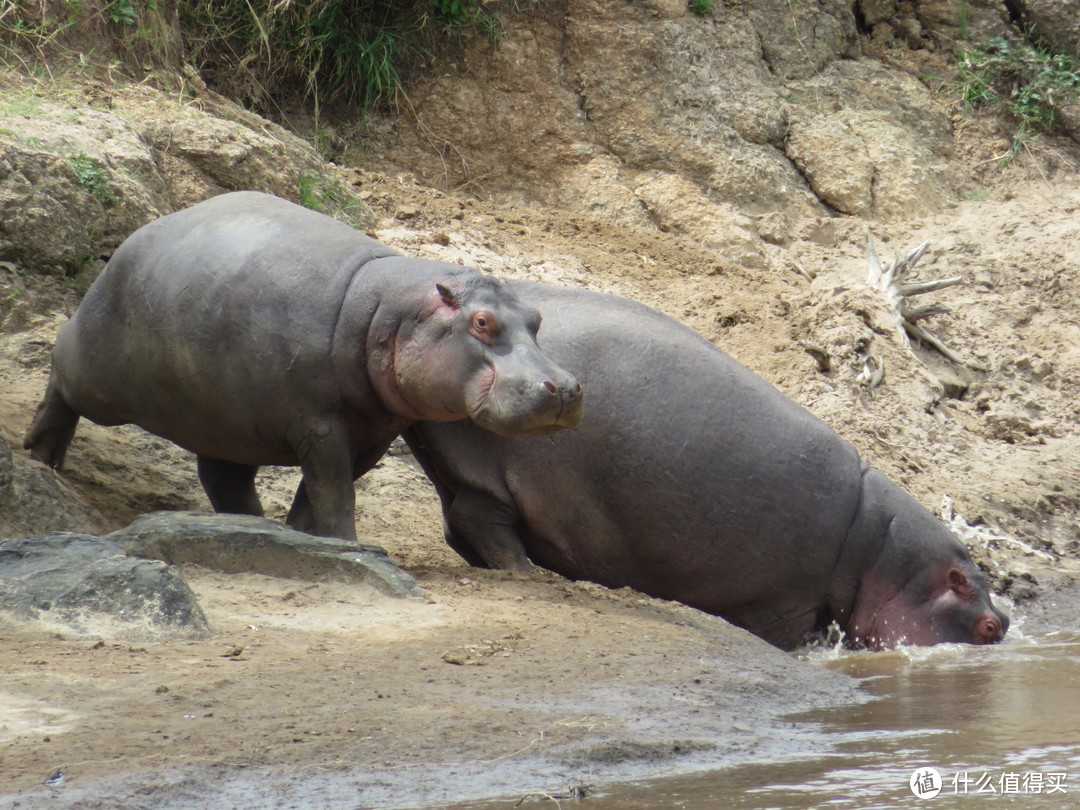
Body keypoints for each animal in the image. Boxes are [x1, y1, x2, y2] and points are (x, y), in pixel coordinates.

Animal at [23, 193, 583, 542]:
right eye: (482, 322)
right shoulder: (320, 424)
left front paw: (302, 535)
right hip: (99, 373)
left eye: (536, 319)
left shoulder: (374, 431)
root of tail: (147, 229)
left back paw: (253, 525)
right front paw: (348, 543)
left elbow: (320, 493)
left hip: (223, 419)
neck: (389, 311)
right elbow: (335, 491)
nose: (566, 388)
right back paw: (40, 457)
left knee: (224, 477)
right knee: (60, 375)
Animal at [406, 282, 1010, 652]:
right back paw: (525, 573)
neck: (878, 550)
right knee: (483, 522)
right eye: (988, 626)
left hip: (463, 472)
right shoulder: (785, 602)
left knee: (461, 521)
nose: (1002, 622)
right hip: (498, 477)